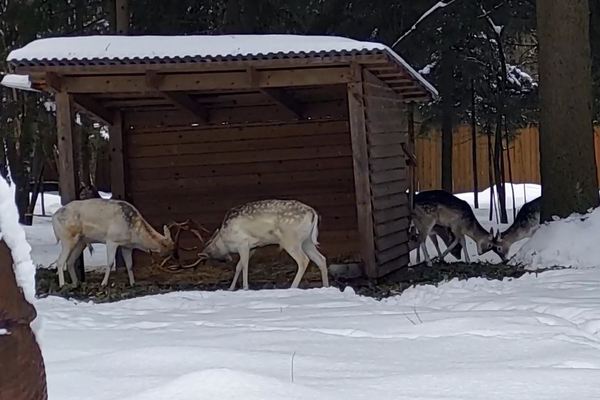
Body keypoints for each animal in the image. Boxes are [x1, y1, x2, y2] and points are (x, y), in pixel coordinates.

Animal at [192, 200, 328, 290]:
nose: (226, 260)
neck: (225, 240)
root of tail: (314, 214)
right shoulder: (253, 248)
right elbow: (239, 266)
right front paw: (231, 288)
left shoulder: (243, 243)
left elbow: (244, 265)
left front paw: (245, 287)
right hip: (306, 241)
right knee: (321, 259)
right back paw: (326, 286)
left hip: (290, 239)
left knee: (303, 260)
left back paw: (292, 287)